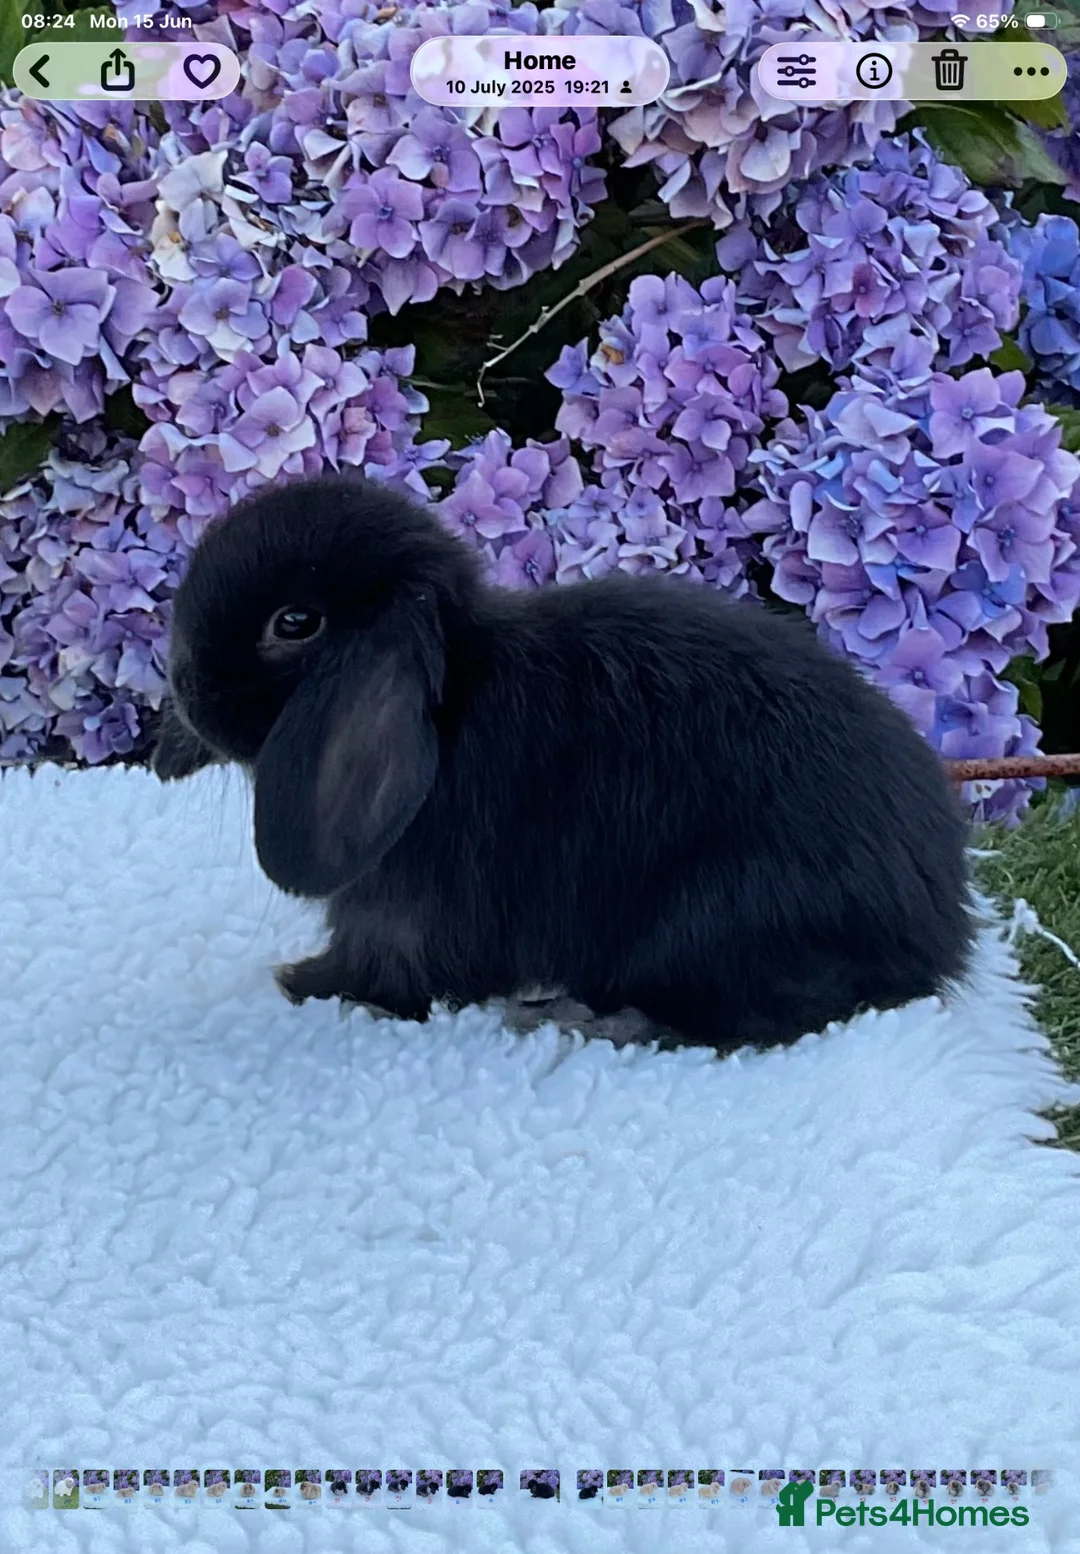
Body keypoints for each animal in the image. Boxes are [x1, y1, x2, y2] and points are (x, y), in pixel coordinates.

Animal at [152, 472, 973, 1055]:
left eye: (294, 623)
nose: (185, 691)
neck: (455, 697)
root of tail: (937, 933)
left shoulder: (407, 920)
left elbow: (391, 973)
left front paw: (310, 986)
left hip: (719, 916)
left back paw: (579, 1018)